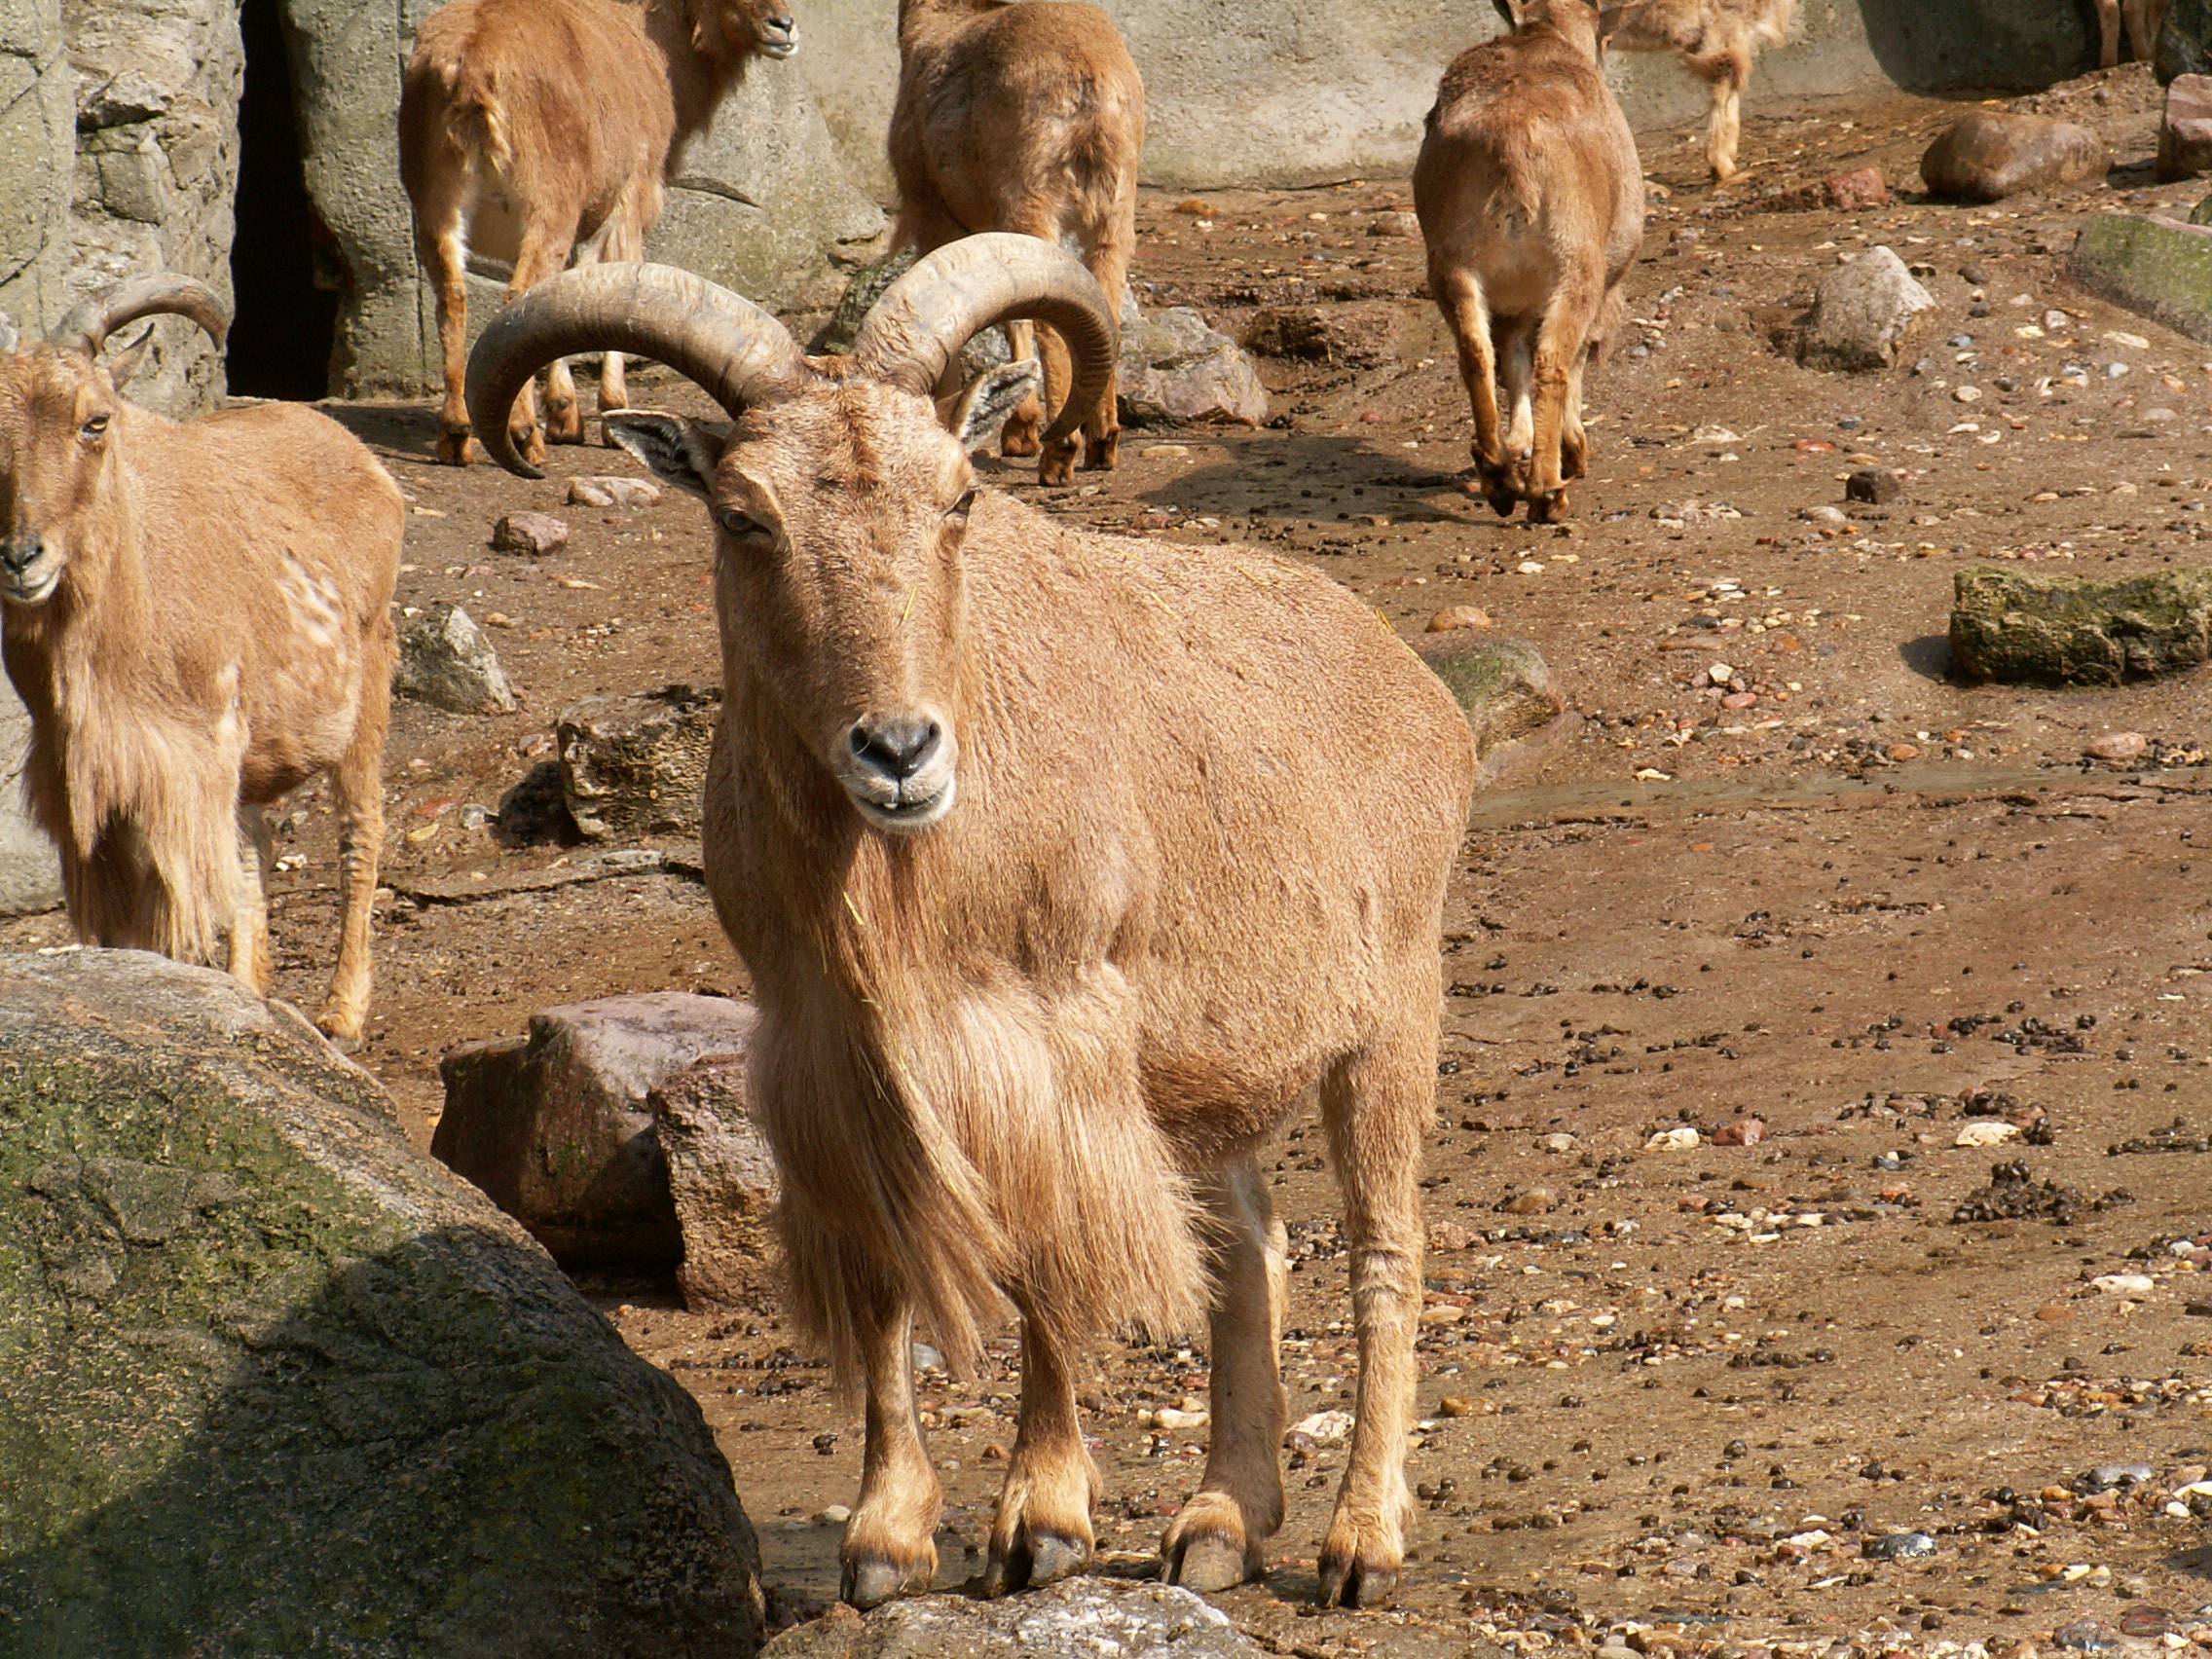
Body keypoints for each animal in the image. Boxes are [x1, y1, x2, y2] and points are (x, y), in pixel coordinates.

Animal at [0, 279, 404, 1044]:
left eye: (96, 420)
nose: (20, 557)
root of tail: (362, 456)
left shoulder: (191, 760)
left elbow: (191, 898)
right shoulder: (83, 778)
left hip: (368, 677)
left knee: (359, 834)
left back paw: (342, 1011)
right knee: (256, 855)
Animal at [402, 0, 800, 468]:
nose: (783, 27)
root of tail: (471, 67)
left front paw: (565, 415)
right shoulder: (631, 197)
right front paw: (611, 409)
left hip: (437, 208)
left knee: (453, 296)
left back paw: (456, 435)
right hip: (546, 207)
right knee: (516, 294)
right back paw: (523, 435)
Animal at [464, 240, 1468, 1619]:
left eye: (958, 498)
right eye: (744, 515)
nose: (898, 751)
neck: (901, 887)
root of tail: (1410, 681)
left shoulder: (1052, 1040)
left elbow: (1048, 1258)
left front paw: (1039, 1521)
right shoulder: (831, 1061)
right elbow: (885, 1281)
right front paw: (886, 1541)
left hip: (1390, 1020)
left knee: (1384, 1254)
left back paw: (1359, 1541)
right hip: (1201, 1082)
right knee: (1247, 1253)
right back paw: (1219, 1523)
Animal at [889, 0, 1150, 484]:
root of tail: (1091, 81)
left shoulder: (929, 211)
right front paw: (1018, 431)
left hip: (1033, 200)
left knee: (1054, 320)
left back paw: (1060, 451)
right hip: (1116, 211)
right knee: (1104, 308)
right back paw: (1102, 441)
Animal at [1416, 0, 1645, 519]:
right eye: (1605, 40)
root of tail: (1511, 142)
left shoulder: (1511, 300)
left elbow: (1511, 356)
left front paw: (1519, 443)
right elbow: (1575, 353)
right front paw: (1570, 446)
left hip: (1454, 265)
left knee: (1477, 352)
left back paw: (1499, 475)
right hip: (1576, 266)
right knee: (1554, 359)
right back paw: (1545, 491)